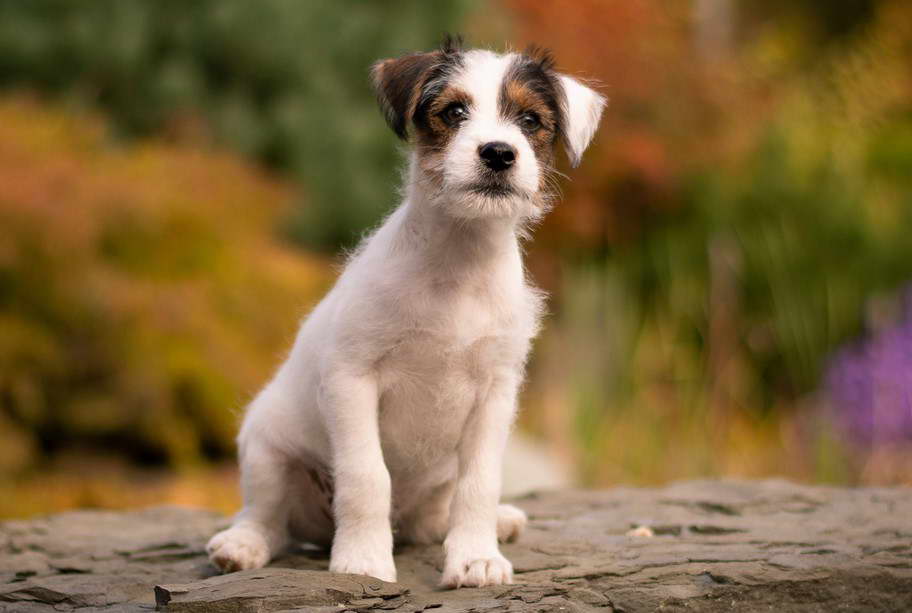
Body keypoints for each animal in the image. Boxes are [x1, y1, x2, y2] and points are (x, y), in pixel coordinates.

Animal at [208, 34, 604, 588]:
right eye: (454, 111)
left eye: (529, 120)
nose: (499, 153)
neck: (457, 264)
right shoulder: (351, 378)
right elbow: (367, 476)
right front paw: (363, 560)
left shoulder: (496, 393)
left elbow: (480, 483)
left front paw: (476, 557)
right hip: (265, 447)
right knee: (267, 518)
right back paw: (241, 545)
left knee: (435, 516)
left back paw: (498, 523)